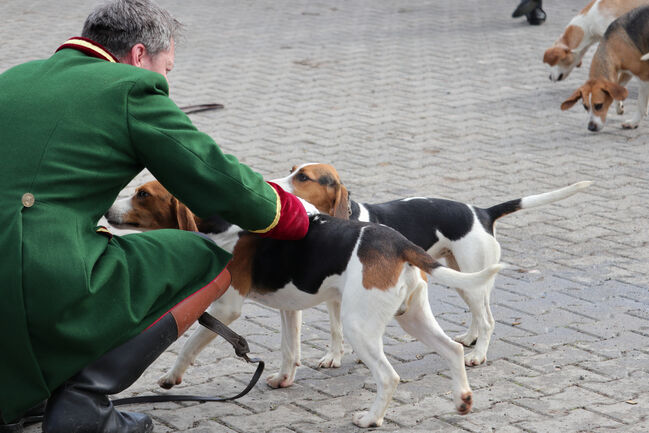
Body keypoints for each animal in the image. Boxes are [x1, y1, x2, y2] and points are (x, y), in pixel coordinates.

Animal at [107, 178, 502, 426]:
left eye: (143, 194)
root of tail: (399, 242)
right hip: (413, 316)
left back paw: (371, 418)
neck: (220, 223)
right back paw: (462, 399)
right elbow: (289, 349)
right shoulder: (289, 306)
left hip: (360, 327)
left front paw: (171, 377)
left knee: (389, 377)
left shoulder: (226, 306)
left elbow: (189, 343)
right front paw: (284, 379)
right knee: (452, 349)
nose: (108, 211)